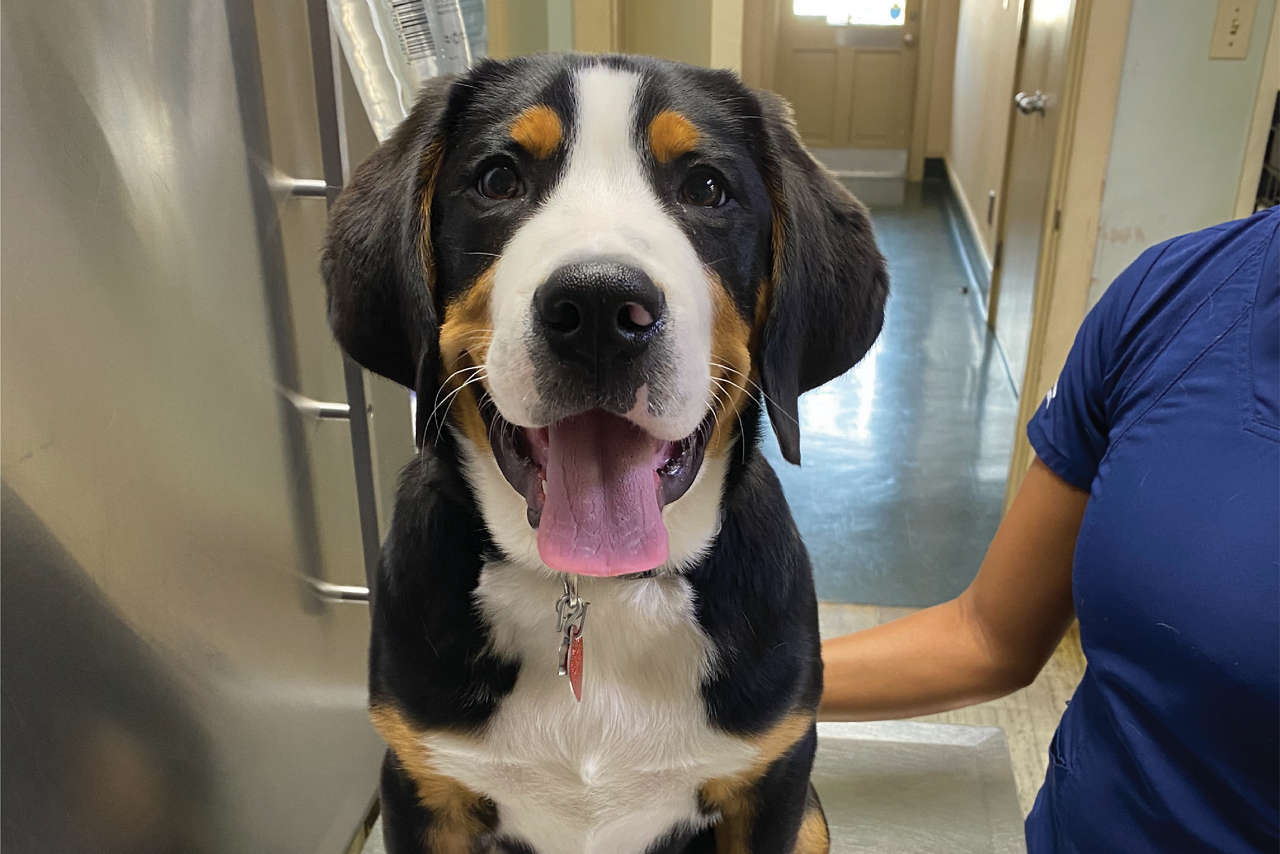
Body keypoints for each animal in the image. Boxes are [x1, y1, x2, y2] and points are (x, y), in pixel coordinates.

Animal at [322, 51, 880, 854]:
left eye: (706, 188)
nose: (598, 308)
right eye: (499, 179)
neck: (598, 593)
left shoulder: (773, 781)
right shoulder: (423, 786)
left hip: (811, 820)